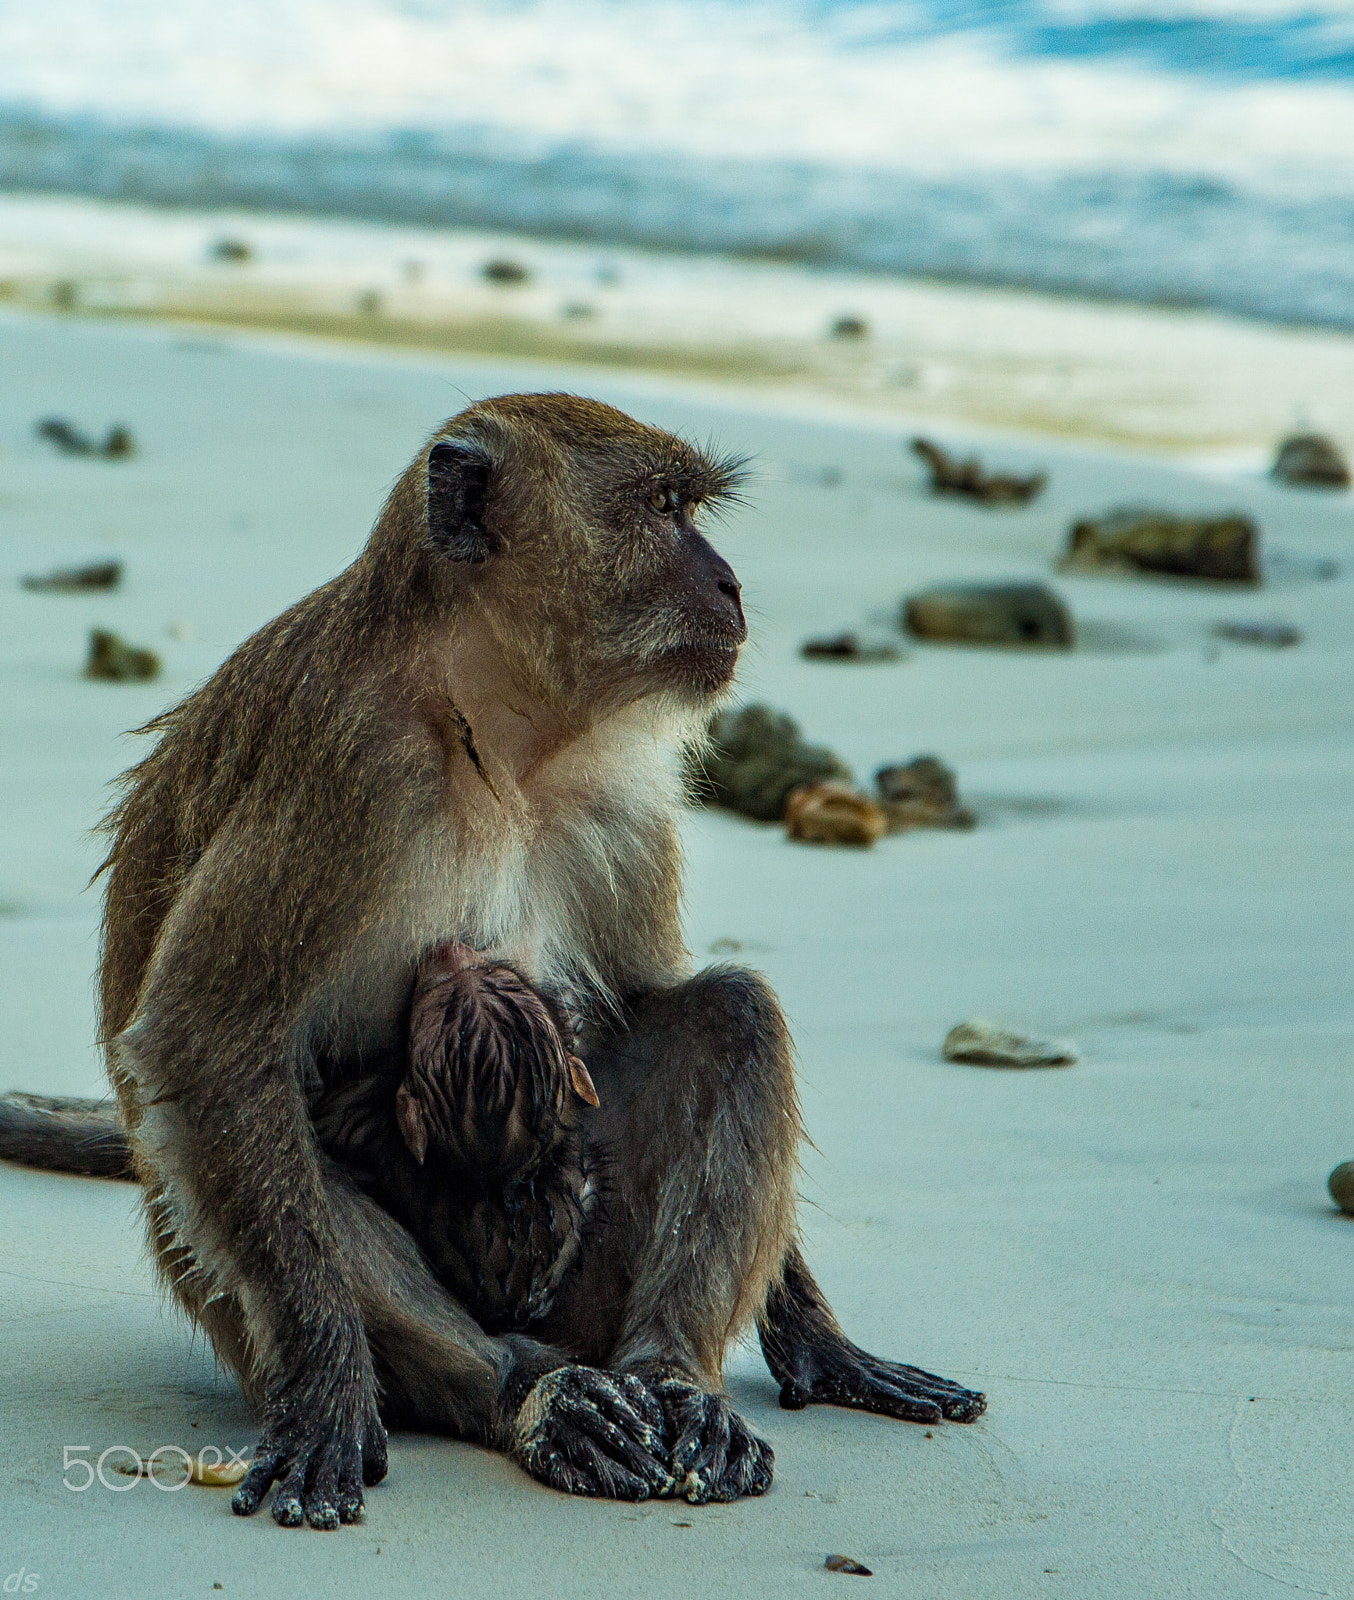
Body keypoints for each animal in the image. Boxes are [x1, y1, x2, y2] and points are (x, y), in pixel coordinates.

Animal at [311, 939, 603, 1334]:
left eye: (434, 993)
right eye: (497, 972)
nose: (449, 948)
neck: (504, 1180)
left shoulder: (374, 1126)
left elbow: (337, 1115)